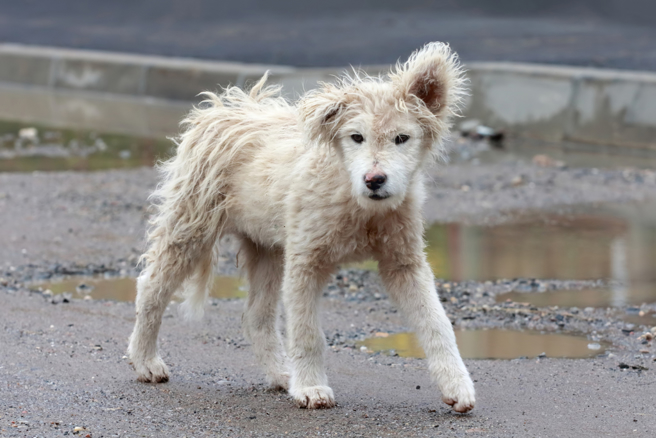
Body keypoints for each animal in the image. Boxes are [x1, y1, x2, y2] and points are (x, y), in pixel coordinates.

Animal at [128, 42, 476, 412]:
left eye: (402, 138)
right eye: (356, 137)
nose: (374, 180)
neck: (357, 203)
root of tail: (224, 108)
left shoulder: (404, 263)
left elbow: (437, 324)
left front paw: (458, 386)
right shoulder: (306, 261)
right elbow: (307, 332)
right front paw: (311, 387)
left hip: (266, 247)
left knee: (256, 318)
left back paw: (282, 374)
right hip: (191, 225)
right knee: (151, 288)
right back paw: (145, 360)